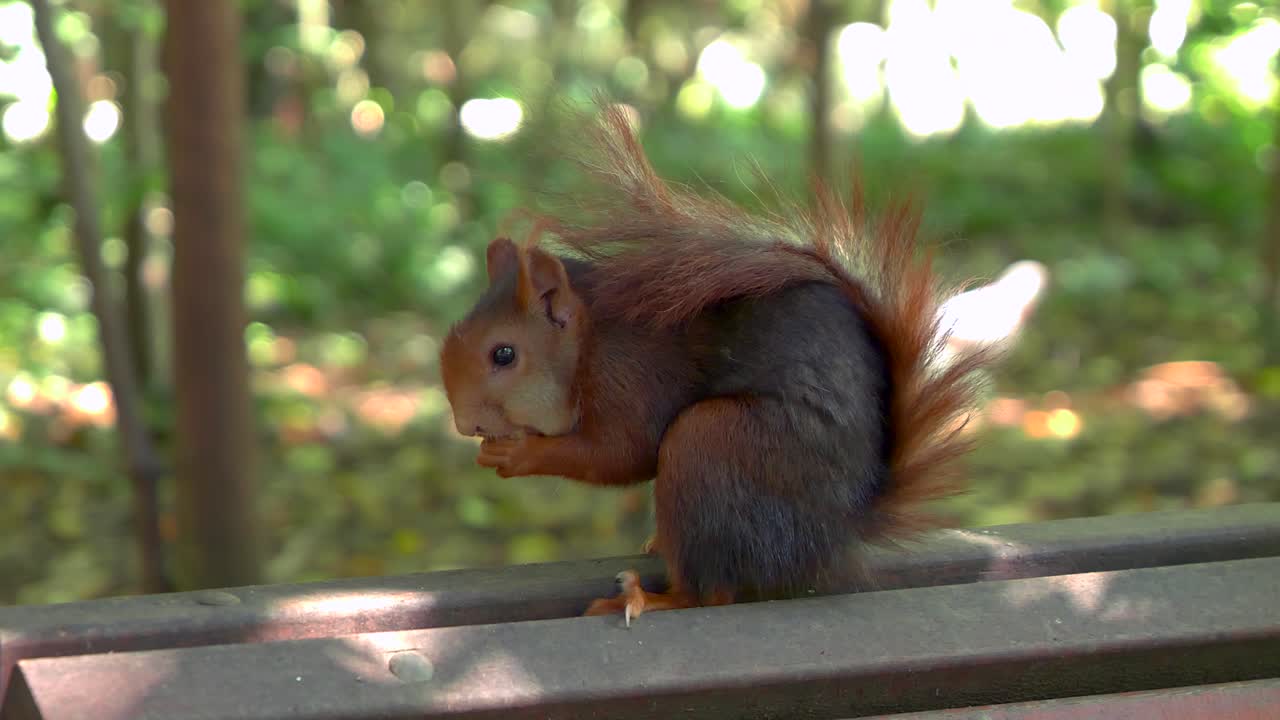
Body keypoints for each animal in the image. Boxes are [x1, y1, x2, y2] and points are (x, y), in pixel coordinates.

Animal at [439, 104, 991, 626]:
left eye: (504, 354)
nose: (466, 425)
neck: (587, 341)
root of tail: (838, 530)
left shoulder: (629, 375)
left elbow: (622, 452)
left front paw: (518, 453)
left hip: (712, 444)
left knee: (711, 594)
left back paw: (651, 598)